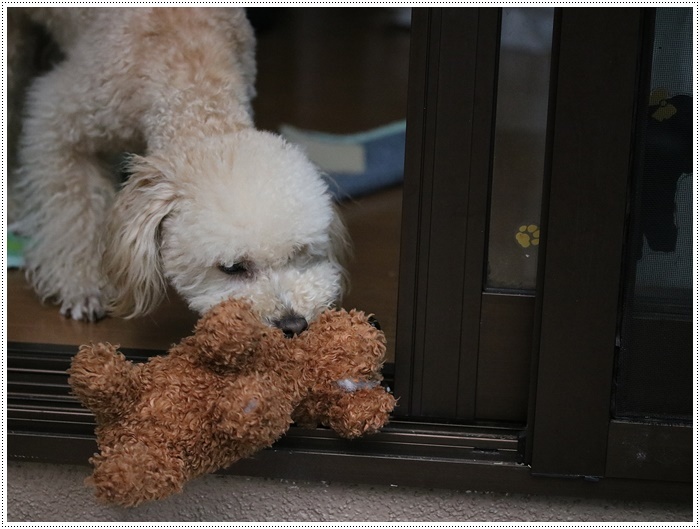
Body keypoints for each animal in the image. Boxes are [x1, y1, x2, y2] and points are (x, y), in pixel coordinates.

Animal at [9, 7, 348, 334]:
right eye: (232, 268)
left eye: (299, 253)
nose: (293, 324)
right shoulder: (59, 122)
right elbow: (73, 216)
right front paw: (83, 286)